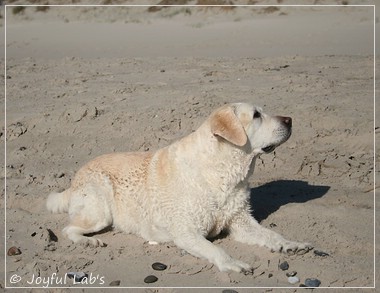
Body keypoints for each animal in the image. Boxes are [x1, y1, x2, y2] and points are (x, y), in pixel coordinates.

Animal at [46, 102, 312, 272]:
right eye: (257, 115)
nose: (290, 120)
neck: (222, 172)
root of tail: (74, 180)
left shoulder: (241, 222)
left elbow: (271, 235)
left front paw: (291, 244)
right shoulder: (186, 232)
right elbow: (215, 250)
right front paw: (231, 263)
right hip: (99, 211)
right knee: (68, 229)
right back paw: (87, 242)